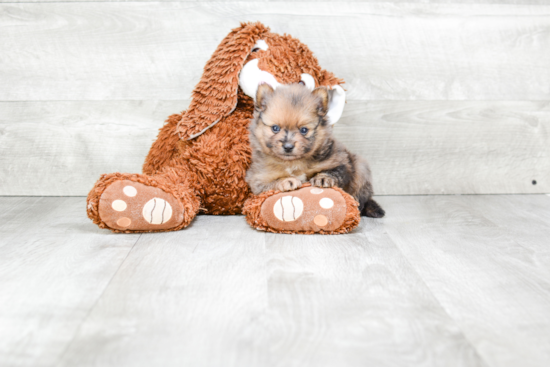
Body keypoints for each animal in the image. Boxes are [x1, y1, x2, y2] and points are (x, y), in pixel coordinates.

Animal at [248, 82, 386, 218]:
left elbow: (334, 172)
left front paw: (323, 178)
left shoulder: (342, 164)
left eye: (304, 130)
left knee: (362, 197)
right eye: (275, 128)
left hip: (361, 167)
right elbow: (270, 184)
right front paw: (286, 180)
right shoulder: (258, 179)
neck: (294, 163)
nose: (288, 146)